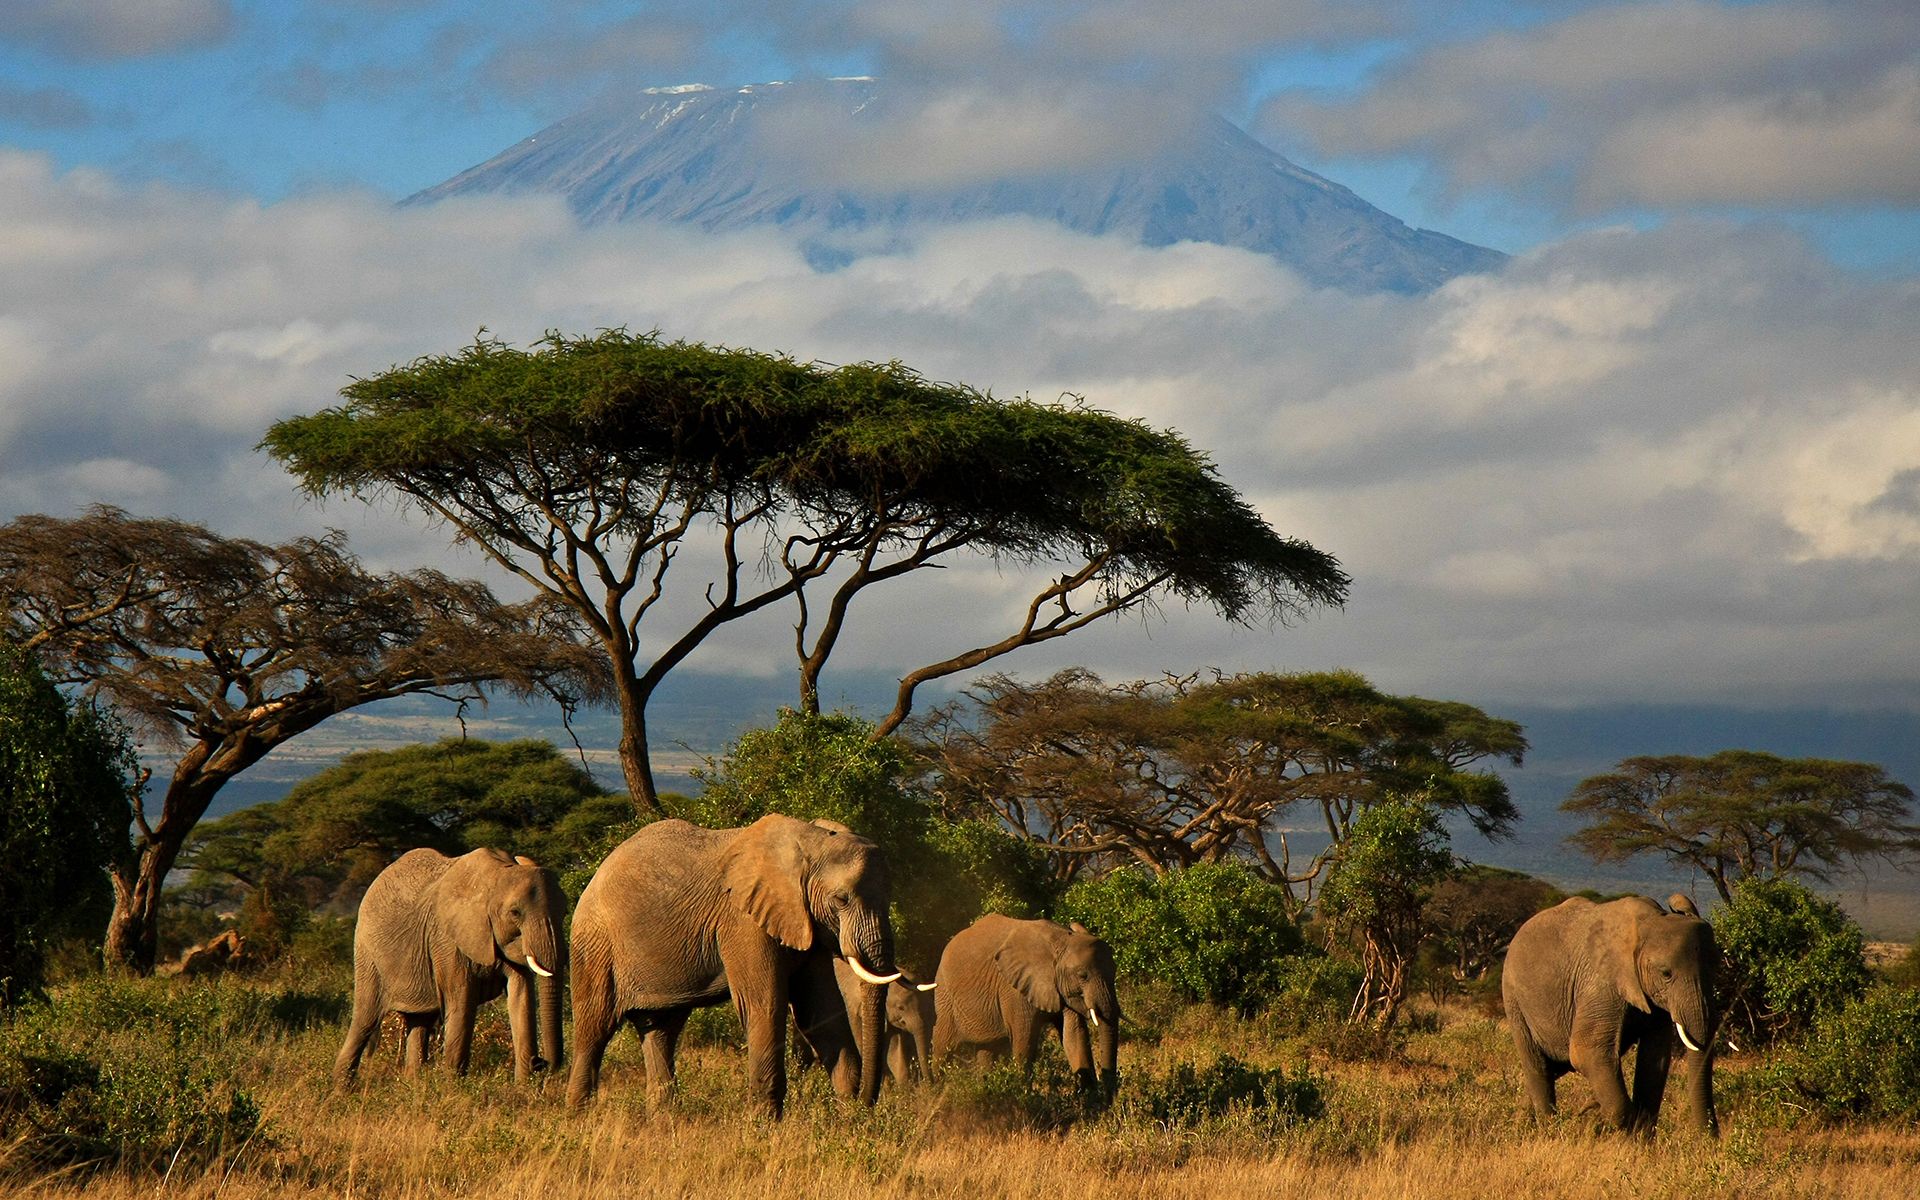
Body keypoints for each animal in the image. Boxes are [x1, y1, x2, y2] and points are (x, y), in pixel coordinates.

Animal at [332, 840, 560, 1082]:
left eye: (564, 912)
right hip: (368, 955)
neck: (496, 873)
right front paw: (454, 1086)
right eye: (515, 913)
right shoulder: (446, 941)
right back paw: (341, 1088)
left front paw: (524, 1086)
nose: (541, 1062)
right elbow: (461, 1001)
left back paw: (413, 1085)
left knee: (419, 1021)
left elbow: (521, 996)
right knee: (365, 1019)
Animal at [564, 814, 902, 1113]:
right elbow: (764, 1006)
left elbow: (818, 1012)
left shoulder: (809, 923)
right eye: (841, 900)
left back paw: (663, 1121)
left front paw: (848, 1117)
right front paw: (764, 1126)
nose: (866, 1103)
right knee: (594, 1027)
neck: (810, 841)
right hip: (594, 945)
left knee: (661, 1031)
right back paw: (579, 1116)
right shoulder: (743, 921)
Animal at [933, 913, 1121, 1098]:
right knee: (942, 1047)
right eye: (1083, 976)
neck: (1061, 941)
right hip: (945, 996)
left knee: (986, 1050)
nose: (1110, 1096)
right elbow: (1025, 1041)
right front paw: (1026, 1099)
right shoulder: (1014, 989)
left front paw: (1091, 1101)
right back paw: (935, 1096)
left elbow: (1073, 1036)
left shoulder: (1063, 988)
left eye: (1114, 970)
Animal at [1505, 894, 1720, 1136]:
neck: (1651, 920)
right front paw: (1600, 1119)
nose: (1709, 1138)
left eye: (1716, 967)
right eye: (1666, 974)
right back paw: (1548, 1131)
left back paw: (1519, 1125)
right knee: (1539, 1069)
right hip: (1515, 1002)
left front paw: (1639, 1140)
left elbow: (1654, 1060)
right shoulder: (1600, 984)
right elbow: (1585, 1052)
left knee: (1553, 1068)